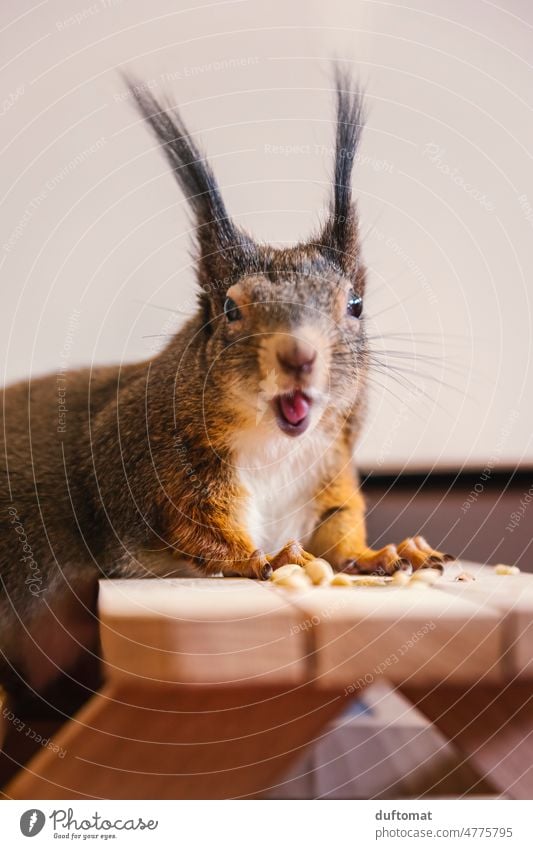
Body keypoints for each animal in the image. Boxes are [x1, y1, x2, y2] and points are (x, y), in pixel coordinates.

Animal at [0, 71, 450, 696]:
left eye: (356, 304)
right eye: (231, 310)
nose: (298, 354)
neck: (273, 448)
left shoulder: (326, 474)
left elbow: (337, 530)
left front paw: (382, 553)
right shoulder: (154, 469)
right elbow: (198, 531)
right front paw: (264, 560)